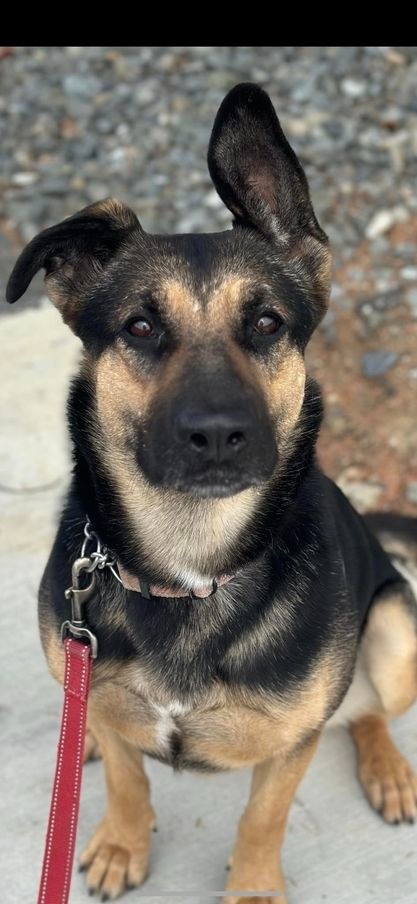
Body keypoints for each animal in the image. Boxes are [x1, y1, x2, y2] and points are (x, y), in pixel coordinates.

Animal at [5, 81, 416, 900]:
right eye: (138, 327)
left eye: (265, 323)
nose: (218, 434)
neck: (189, 570)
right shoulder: (100, 685)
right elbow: (128, 776)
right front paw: (122, 840)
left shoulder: (290, 745)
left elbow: (264, 816)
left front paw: (252, 885)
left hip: (396, 630)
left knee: (365, 711)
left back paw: (388, 768)